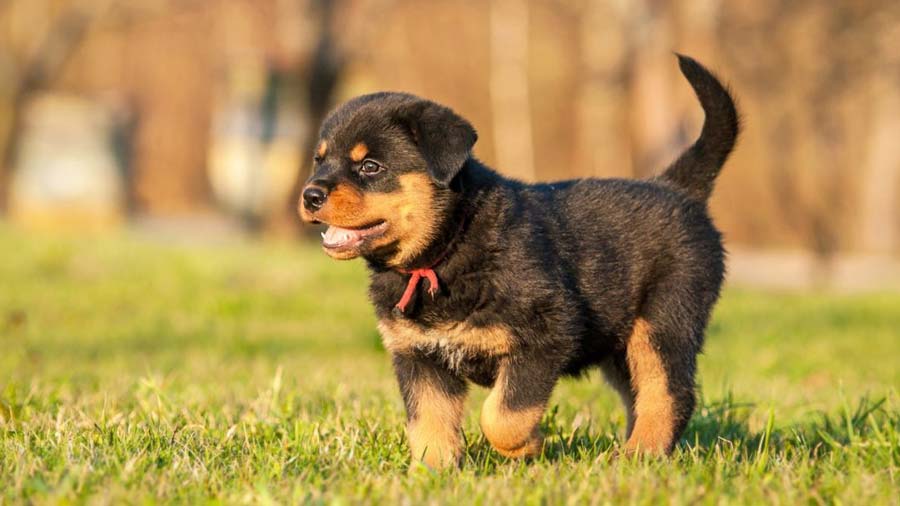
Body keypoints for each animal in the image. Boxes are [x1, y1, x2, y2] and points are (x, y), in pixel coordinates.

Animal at [300, 53, 740, 468]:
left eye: (370, 166)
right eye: (320, 160)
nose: (310, 194)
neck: (447, 248)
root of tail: (677, 187)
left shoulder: (546, 334)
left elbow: (502, 414)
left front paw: (527, 446)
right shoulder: (418, 355)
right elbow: (428, 423)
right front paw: (431, 473)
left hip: (664, 320)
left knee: (668, 393)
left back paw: (640, 455)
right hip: (619, 344)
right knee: (639, 394)